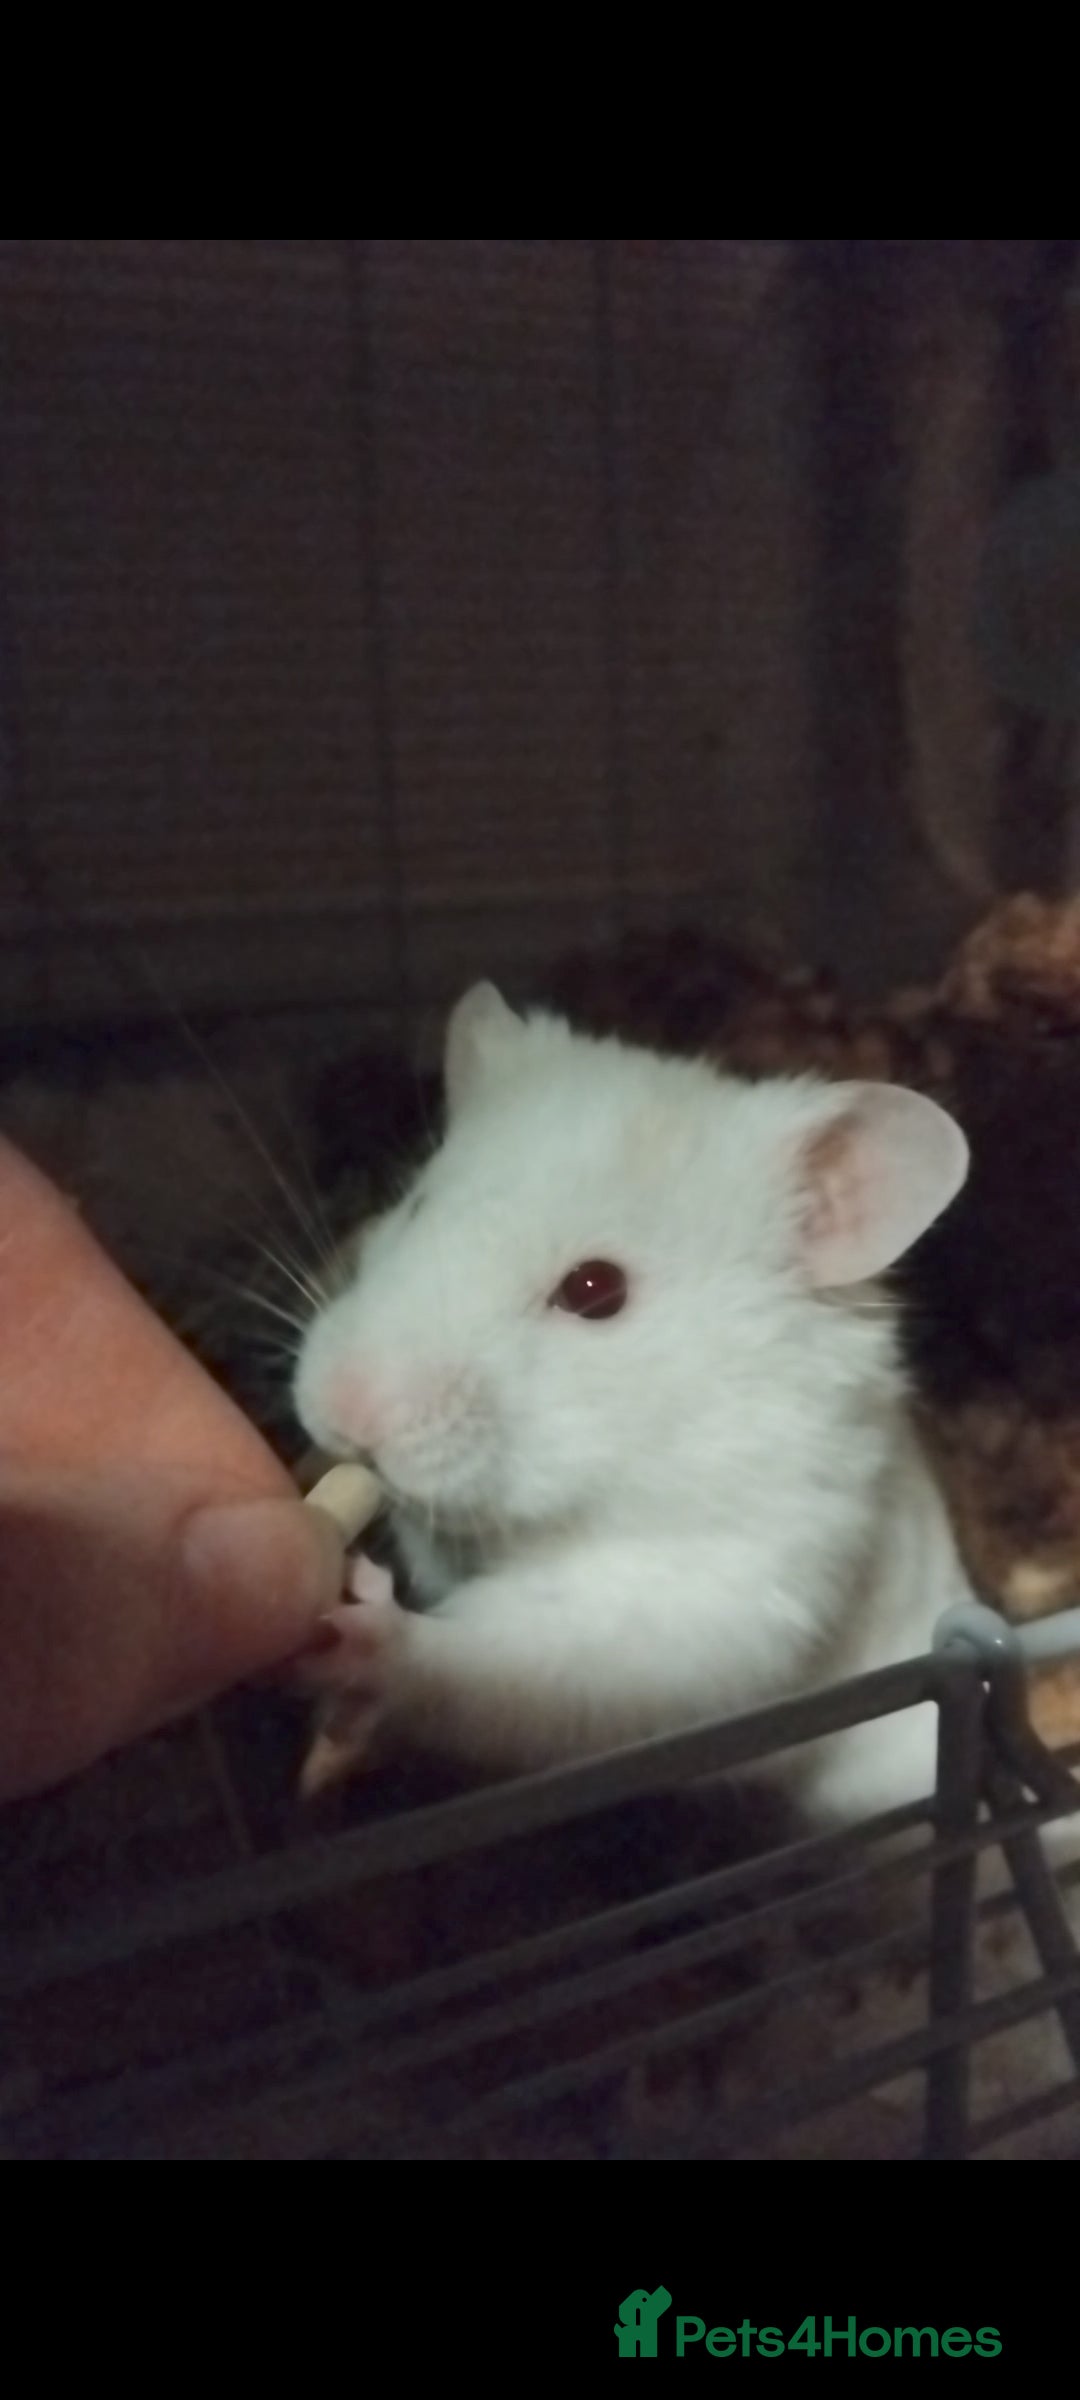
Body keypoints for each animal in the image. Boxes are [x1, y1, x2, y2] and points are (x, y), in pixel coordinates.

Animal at [289, 979, 999, 1829]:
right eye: (418, 1206)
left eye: (596, 1290)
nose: (344, 1413)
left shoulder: (710, 1599)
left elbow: (508, 1664)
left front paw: (358, 1634)